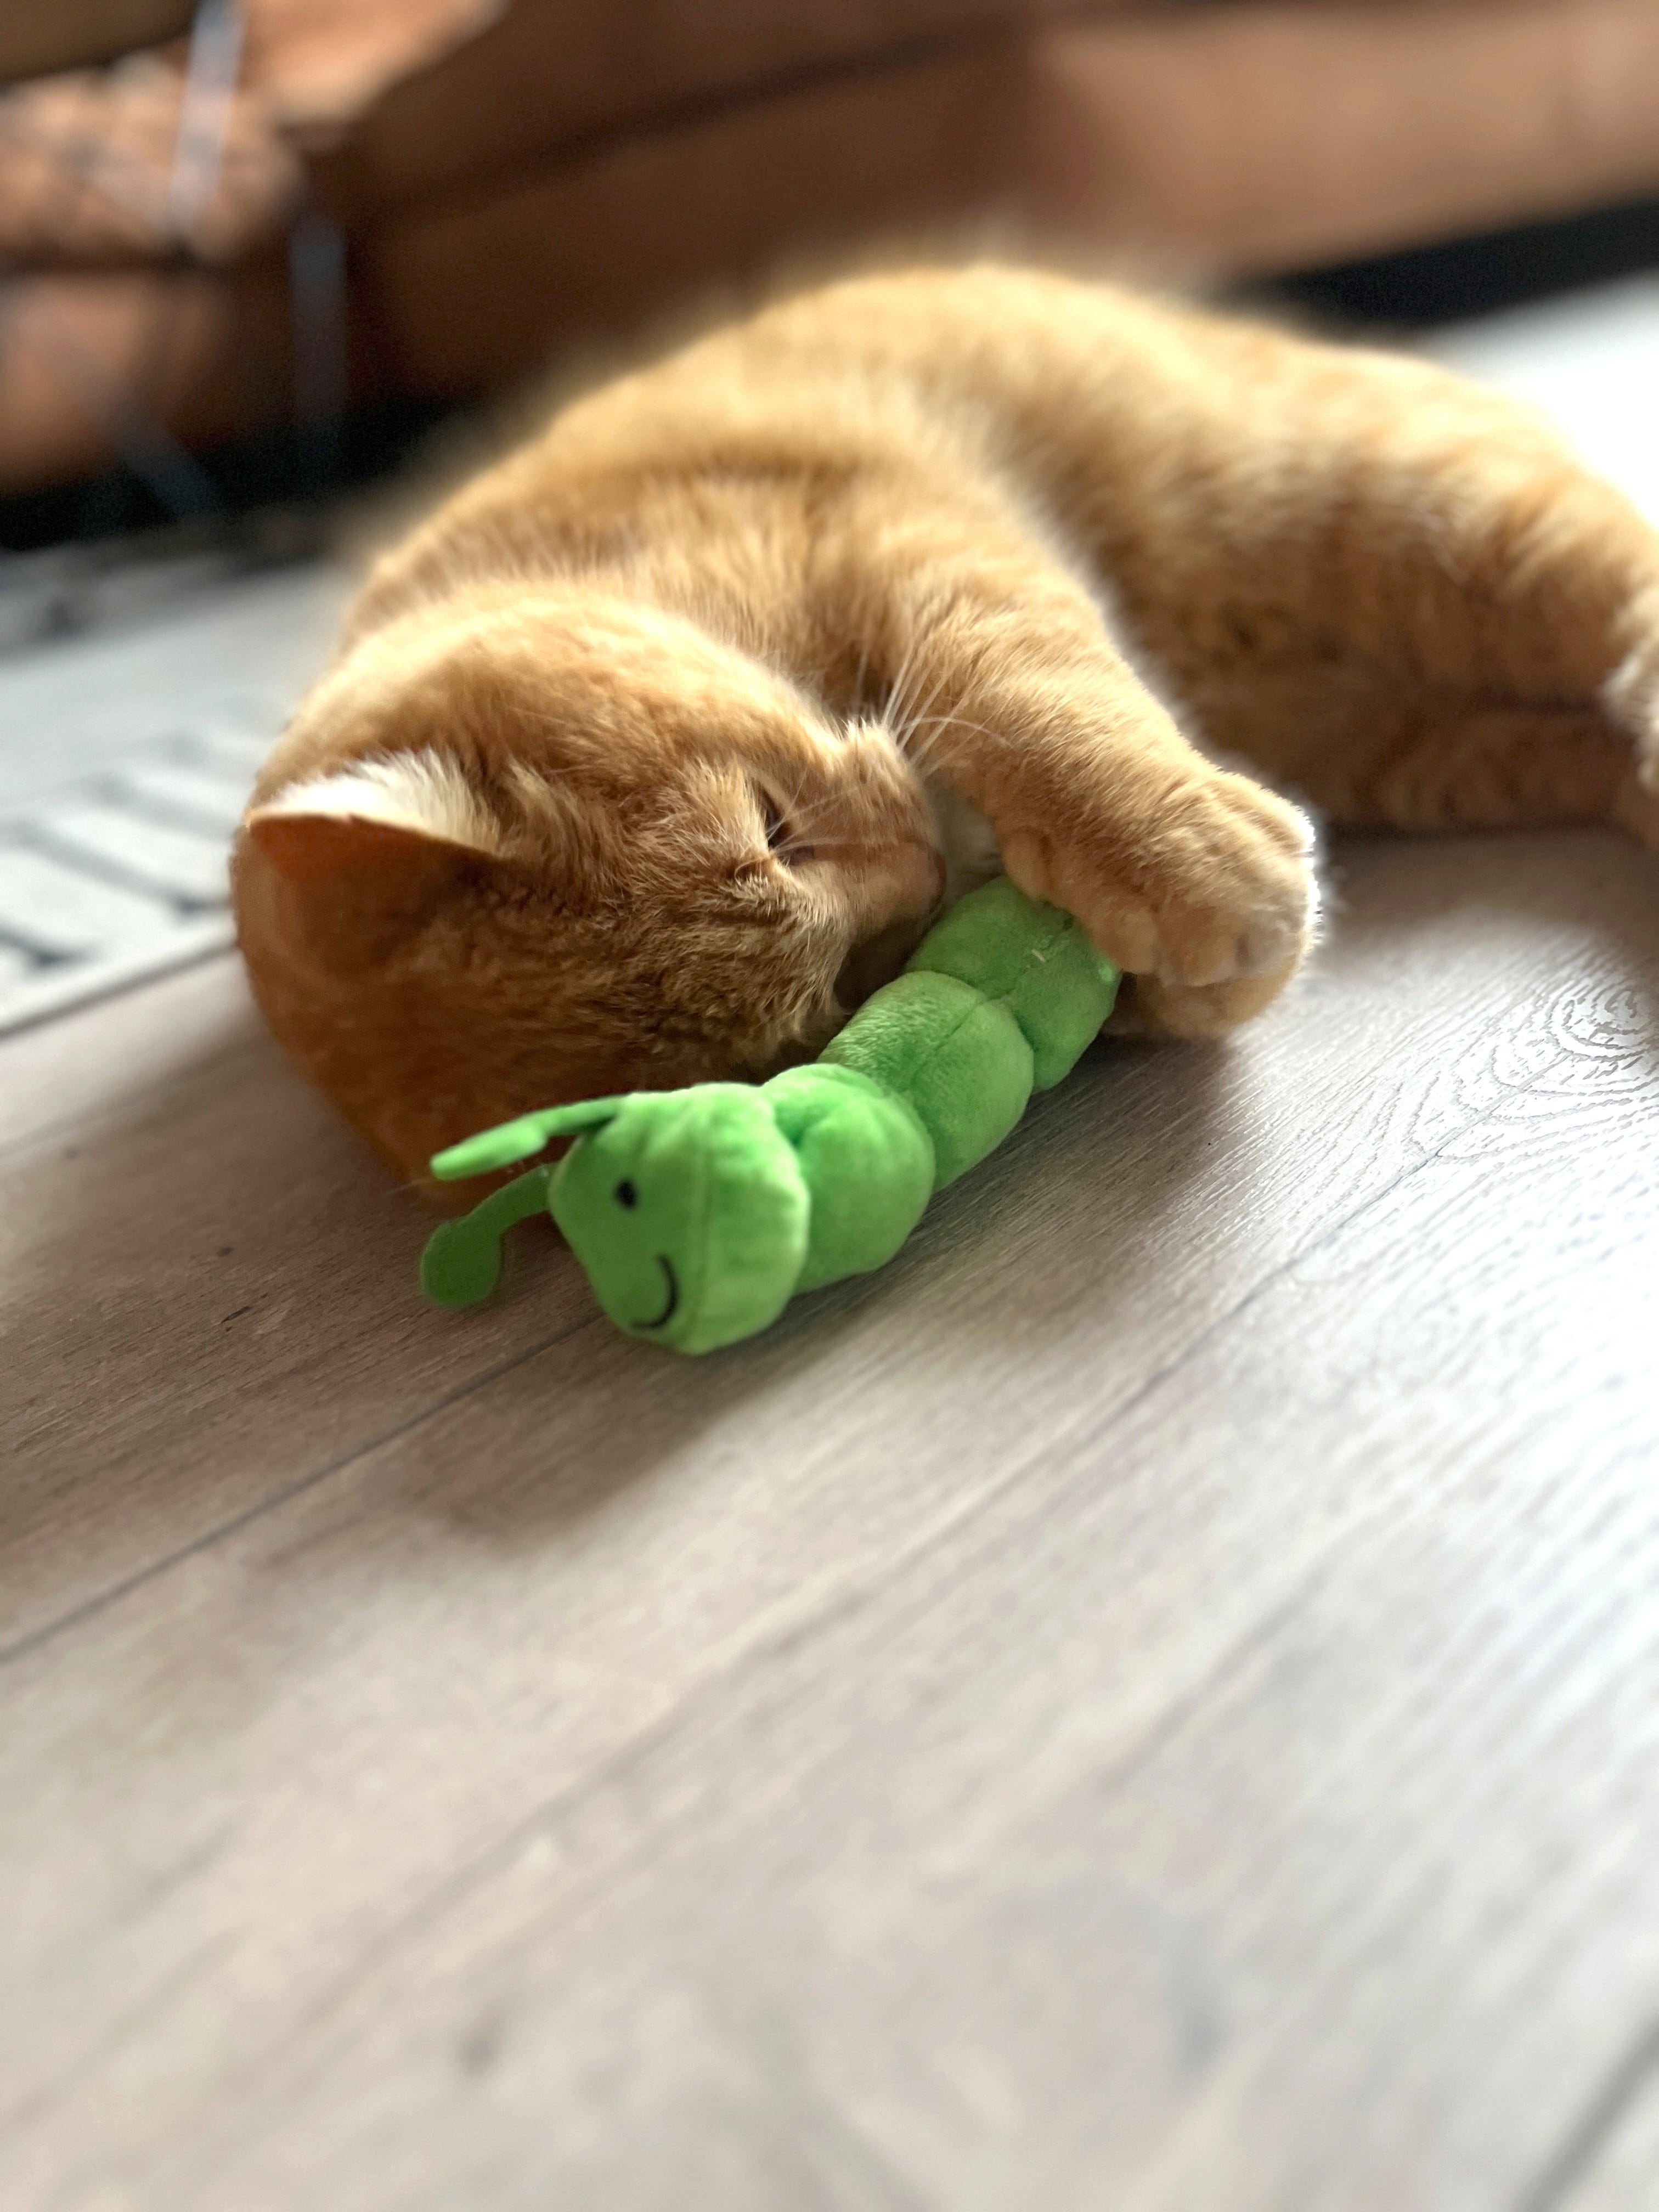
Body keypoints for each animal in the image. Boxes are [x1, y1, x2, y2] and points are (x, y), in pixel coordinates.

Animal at [233, 264, 1659, 1191]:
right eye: (843, 995)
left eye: (776, 826)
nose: (922, 869)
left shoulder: (910, 532)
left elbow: (1025, 694)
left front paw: (1184, 871)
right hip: (1412, 737)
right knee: (1566, 740)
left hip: (1410, 514)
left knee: (1612, 578)